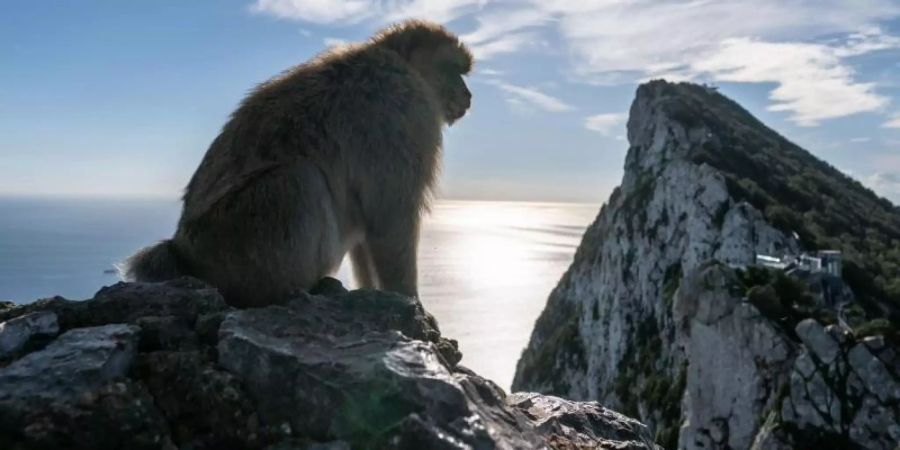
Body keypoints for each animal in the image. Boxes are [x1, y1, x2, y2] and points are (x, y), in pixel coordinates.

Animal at [123, 19, 474, 308]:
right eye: (453, 69)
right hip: (244, 237)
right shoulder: (404, 109)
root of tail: (184, 253)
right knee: (300, 178)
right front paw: (411, 302)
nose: (468, 96)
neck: (402, 65)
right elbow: (390, 213)